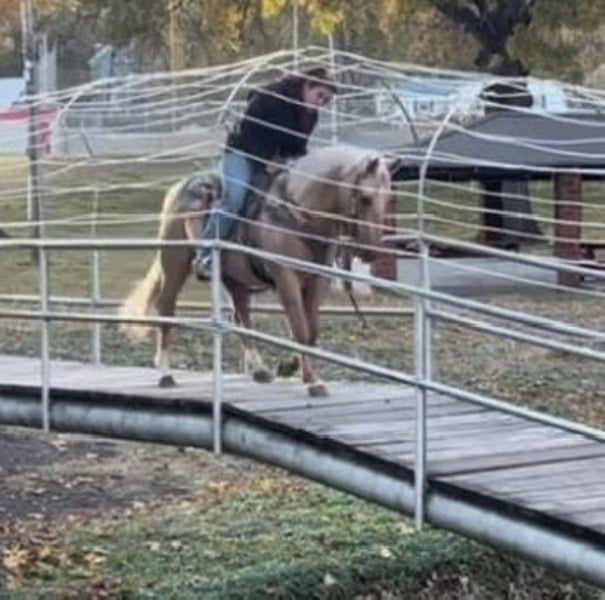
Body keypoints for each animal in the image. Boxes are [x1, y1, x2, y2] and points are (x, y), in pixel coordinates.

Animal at [119, 144, 397, 397]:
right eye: (365, 197)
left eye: (387, 198)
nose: (372, 251)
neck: (294, 213)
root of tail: (181, 186)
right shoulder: (286, 278)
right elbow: (300, 328)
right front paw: (313, 382)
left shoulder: (318, 280)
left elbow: (311, 330)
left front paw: (289, 367)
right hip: (174, 261)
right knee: (166, 308)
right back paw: (165, 373)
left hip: (236, 278)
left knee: (240, 316)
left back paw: (259, 369)